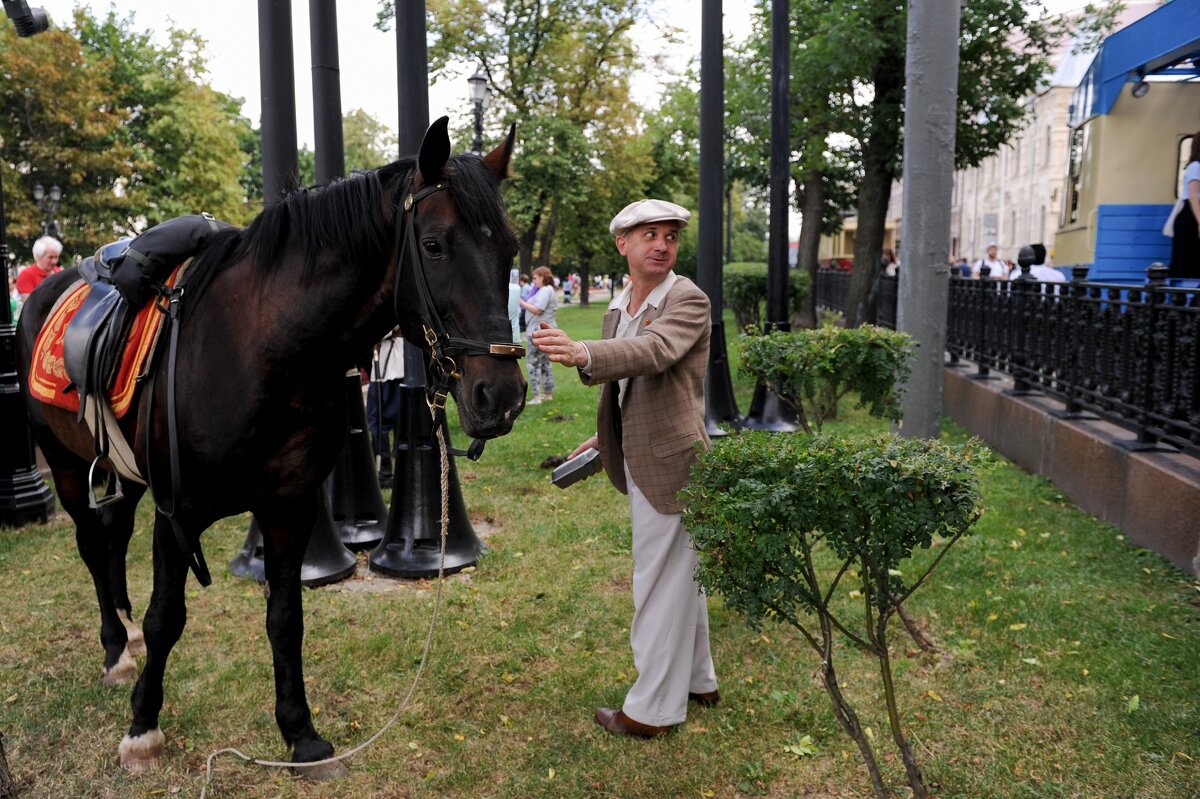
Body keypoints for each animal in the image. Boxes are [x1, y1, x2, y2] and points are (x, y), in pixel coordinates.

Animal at [11, 116, 523, 772]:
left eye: (510, 248)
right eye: (434, 245)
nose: (501, 395)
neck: (262, 351)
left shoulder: (289, 503)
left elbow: (285, 616)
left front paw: (299, 730)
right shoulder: (177, 513)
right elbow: (166, 617)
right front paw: (143, 725)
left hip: (122, 473)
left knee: (112, 535)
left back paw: (121, 631)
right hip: (69, 466)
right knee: (91, 546)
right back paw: (113, 647)